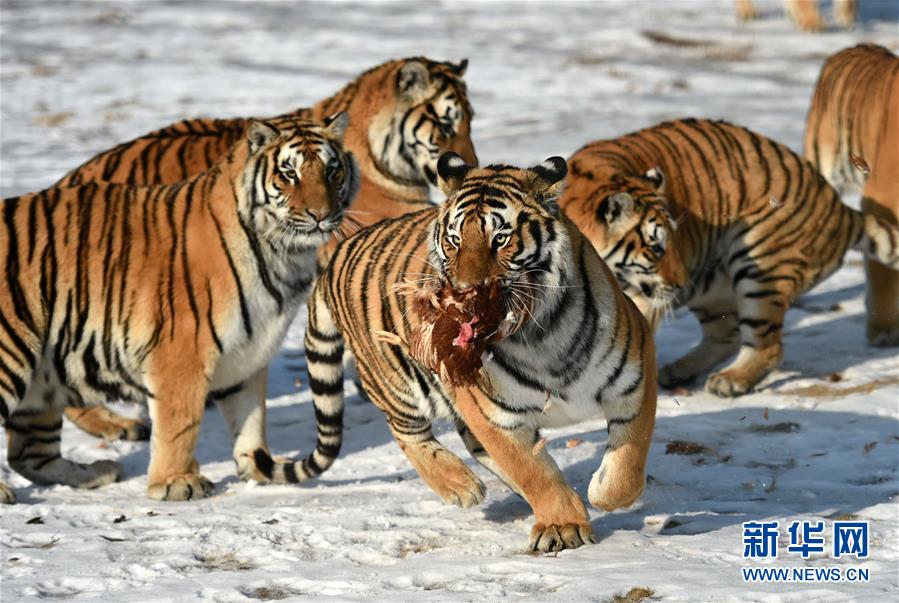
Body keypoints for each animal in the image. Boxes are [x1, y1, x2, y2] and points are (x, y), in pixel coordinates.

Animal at [0, 114, 358, 504]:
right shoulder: (182, 352)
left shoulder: (248, 353)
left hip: (43, 379)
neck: (284, 254)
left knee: (29, 454)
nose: (321, 214)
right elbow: (180, 425)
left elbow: (250, 415)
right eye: (289, 173)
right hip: (13, 352)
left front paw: (259, 467)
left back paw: (97, 472)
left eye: (332, 171)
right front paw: (176, 482)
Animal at [296, 152, 657, 552]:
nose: (464, 292)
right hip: (396, 385)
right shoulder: (493, 414)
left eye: (500, 239)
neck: (540, 335)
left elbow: (629, 459)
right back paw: (461, 485)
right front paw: (563, 526)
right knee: (407, 432)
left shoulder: (635, 373)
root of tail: (335, 257)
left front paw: (601, 494)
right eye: (454, 240)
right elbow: (532, 472)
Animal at [560, 118, 899, 398]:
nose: (681, 283)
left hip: (760, 266)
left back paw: (730, 380)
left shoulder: (640, 300)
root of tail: (839, 208)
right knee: (728, 335)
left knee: (767, 346)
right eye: (656, 249)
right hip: (711, 287)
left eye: (672, 242)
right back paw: (678, 371)